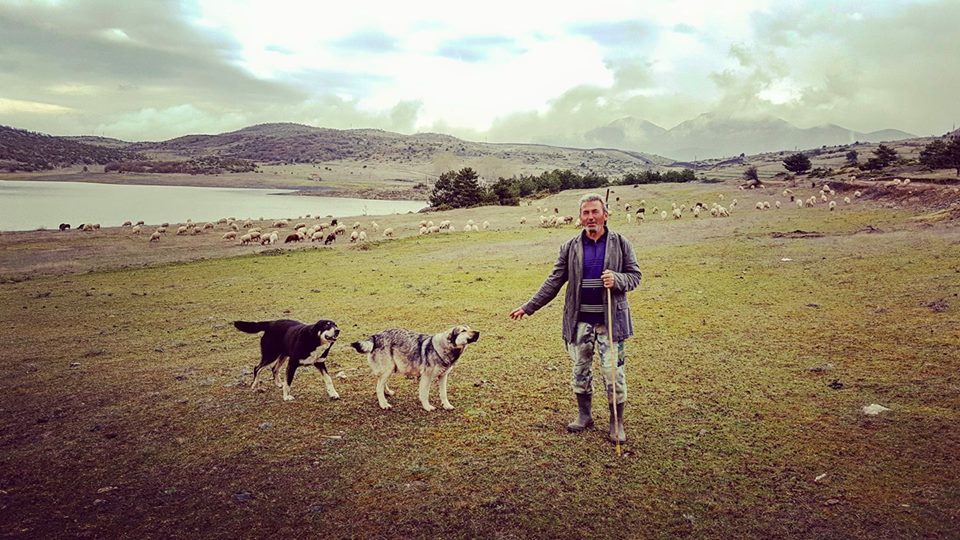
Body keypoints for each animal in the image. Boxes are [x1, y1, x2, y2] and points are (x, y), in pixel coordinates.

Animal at [350, 325, 479, 411]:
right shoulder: (427, 377)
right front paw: (427, 407)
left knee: (381, 383)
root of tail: (375, 336)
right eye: (463, 330)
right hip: (388, 369)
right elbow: (424, 394)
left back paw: (387, 392)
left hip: (390, 369)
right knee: (378, 387)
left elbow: (443, 394)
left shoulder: (443, 376)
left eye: (469, 328)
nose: (478, 332)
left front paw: (447, 405)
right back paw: (383, 404)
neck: (444, 348)